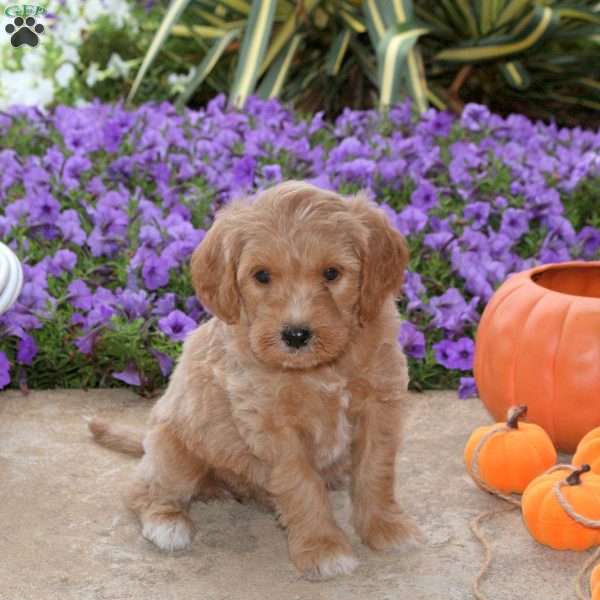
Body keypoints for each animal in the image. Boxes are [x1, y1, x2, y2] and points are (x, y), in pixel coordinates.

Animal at [90, 180, 412, 580]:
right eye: (261, 276)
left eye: (332, 273)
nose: (295, 335)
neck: (320, 369)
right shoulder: (274, 427)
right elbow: (302, 484)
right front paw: (323, 548)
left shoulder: (380, 404)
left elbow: (376, 471)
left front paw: (385, 527)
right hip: (174, 452)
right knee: (141, 489)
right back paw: (167, 523)